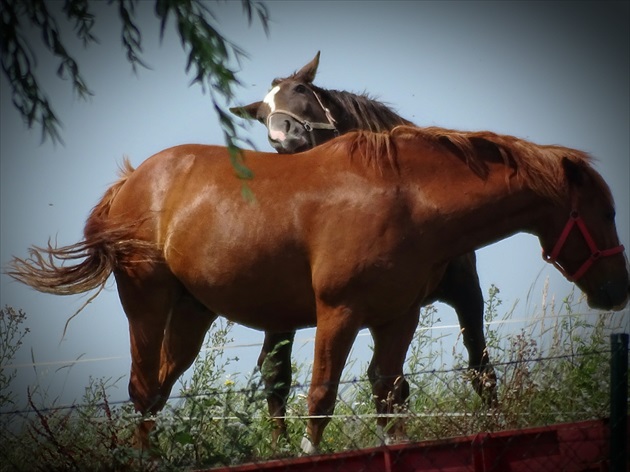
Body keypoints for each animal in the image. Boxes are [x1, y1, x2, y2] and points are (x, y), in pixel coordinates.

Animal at [7, 125, 628, 454]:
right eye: (605, 211)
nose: (617, 289)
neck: (406, 197)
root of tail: (131, 181)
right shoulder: (339, 314)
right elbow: (320, 399)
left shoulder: (396, 319)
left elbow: (388, 395)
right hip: (147, 301)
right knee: (142, 388)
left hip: (191, 314)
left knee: (156, 389)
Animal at [231, 49, 494, 440]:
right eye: (262, 115)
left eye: (300, 89)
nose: (282, 135)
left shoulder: (465, 292)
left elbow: (480, 370)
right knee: (277, 373)